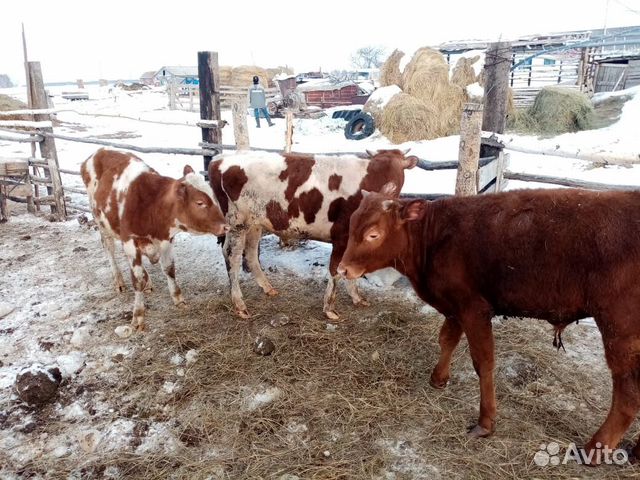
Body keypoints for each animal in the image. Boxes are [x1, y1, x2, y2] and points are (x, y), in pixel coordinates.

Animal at [81, 148, 229, 332]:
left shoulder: (166, 240)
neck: (152, 206)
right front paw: (138, 315)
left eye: (214, 197)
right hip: (102, 223)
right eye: (200, 202)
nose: (226, 226)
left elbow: (169, 269)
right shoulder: (130, 241)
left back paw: (148, 281)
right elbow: (136, 280)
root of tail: (100, 150)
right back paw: (119, 281)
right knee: (109, 248)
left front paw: (178, 298)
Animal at [210, 148, 418, 320]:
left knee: (251, 254)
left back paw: (268, 288)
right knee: (232, 256)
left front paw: (357, 298)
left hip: (255, 223)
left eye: (397, 170)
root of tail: (220, 159)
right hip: (237, 222)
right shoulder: (342, 237)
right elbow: (335, 271)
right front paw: (330, 309)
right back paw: (239, 305)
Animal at [340, 189, 640, 464]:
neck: (435, 238)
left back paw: (595, 449)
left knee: (628, 393)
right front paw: (438, 378)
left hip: (620, 330)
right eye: (352, 224)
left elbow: (483, 361)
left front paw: (485, 422)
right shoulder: (454, 306)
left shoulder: (474, 308)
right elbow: (447, 339)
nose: (342, 269)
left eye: (373, 234)